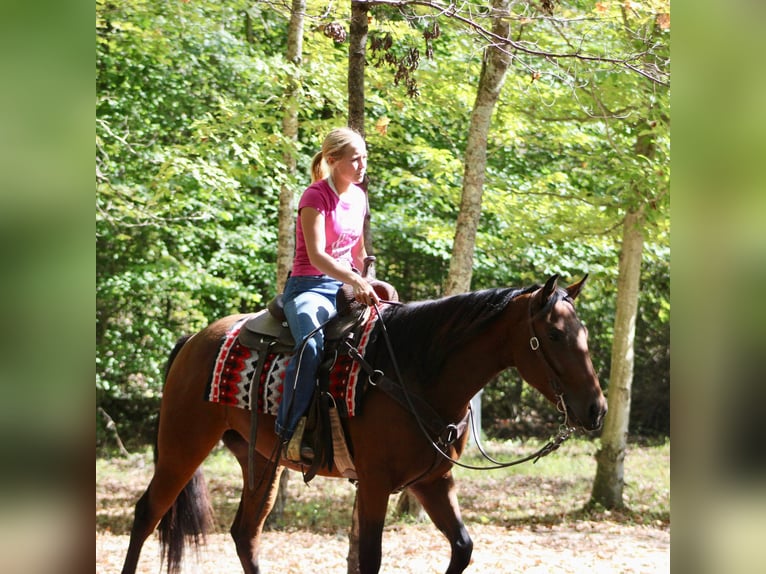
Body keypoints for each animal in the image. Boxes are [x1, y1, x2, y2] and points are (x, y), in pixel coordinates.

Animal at [120, 273, 607, 574]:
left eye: (582, 334)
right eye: (555, 335)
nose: (596, 410)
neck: (415, 371)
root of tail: (194, 339)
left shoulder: (433, 481)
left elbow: (462, 547)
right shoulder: (375, 484)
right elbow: (370, 559)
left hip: (259, 461)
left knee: (245, 532)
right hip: (183, 446)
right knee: (146, 514)